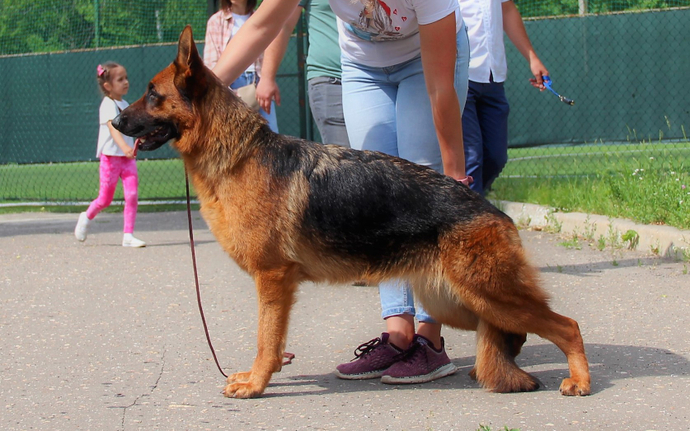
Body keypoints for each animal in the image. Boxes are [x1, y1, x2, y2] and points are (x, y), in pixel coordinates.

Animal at [113, 26, 592, 398]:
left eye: (152, 95)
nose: (114, 124)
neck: (237, 154)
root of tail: (494, 212)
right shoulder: (276, 285)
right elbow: (272, 341)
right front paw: (260, 375)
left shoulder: (272, 281)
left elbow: (266, 339)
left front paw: (256, 384)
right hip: (456, 301)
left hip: (488, 294)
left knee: (566, 325)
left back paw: (580, 381)